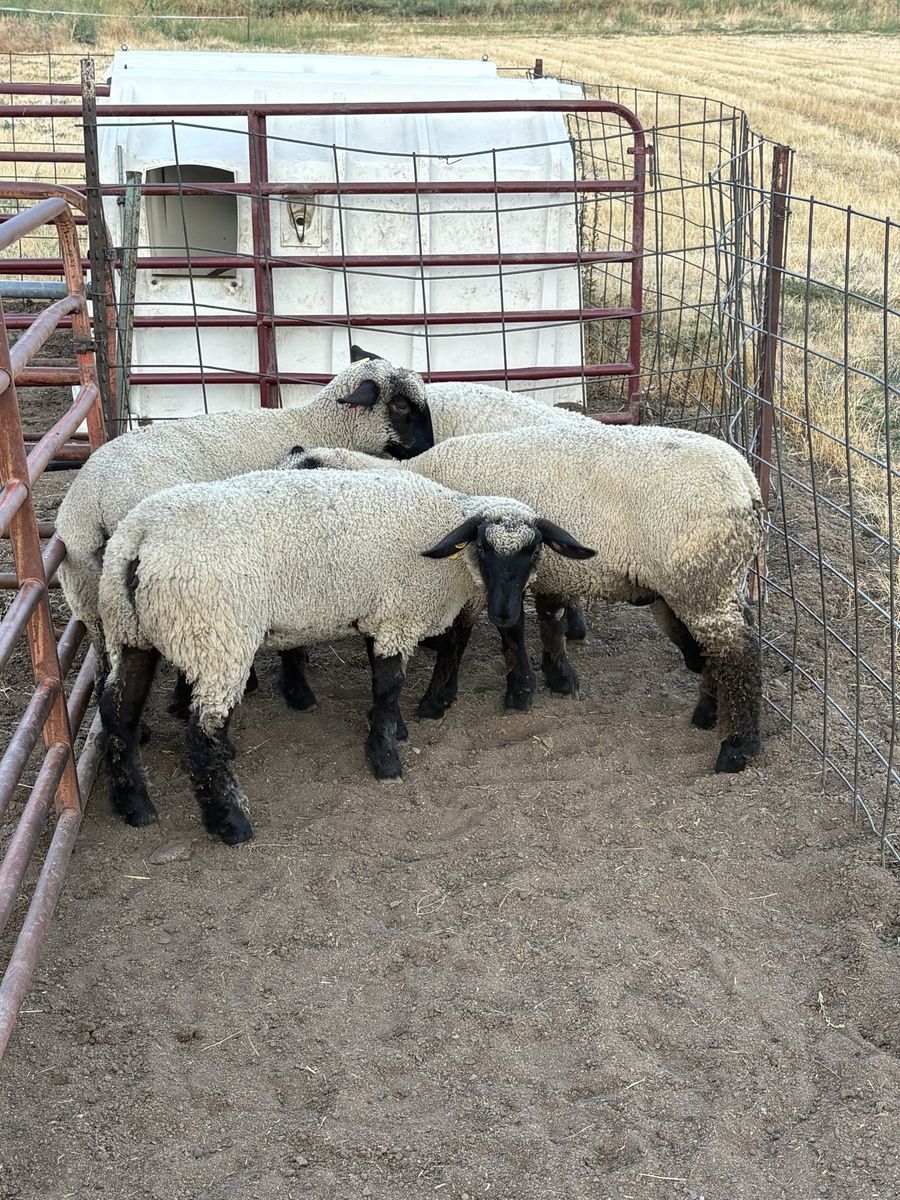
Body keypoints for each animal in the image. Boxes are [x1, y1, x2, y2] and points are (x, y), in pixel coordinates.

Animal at [55, 356, 433, 708]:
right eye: (400, 405)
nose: (427, 449)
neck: (319, 426)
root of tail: (94, 499)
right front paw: (295, 687)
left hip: (89, 591)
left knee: (105, 651)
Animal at [97, 467, 594, 844]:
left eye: (534, 550)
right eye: (485, 548)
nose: (505, 611)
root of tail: (139, 536)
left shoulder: (381, 615)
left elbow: (381, 680)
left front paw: (395, 731)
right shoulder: (398, 615)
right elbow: (389, 685)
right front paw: (385, 758)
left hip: (130, 632)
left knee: (117, 712)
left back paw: (134, 805)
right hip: (218, 637)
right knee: (203, 733)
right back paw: (230, 823)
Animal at [291, 422, 765, 774]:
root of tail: (747, 479)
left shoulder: (475, 581)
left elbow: (463, 638)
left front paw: (438, 699)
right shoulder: (518, 580)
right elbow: (527, 627)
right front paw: (539, 683)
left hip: (702, 580)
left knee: (739, 652)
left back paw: (738, 746)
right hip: (706, 584)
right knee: (724, 644)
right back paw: (709, 714)